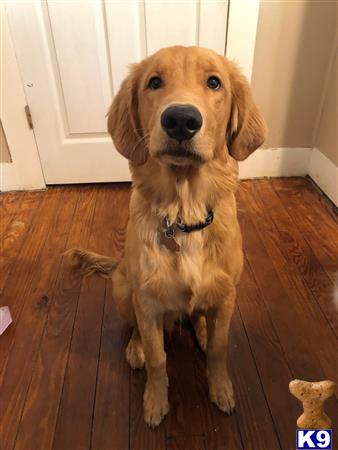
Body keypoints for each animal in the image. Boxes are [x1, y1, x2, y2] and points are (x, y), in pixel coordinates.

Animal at [69, 46, 266, 428]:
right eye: (154, 82)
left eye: (214, 82)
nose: (180, 120)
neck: (183, 214)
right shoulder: (147, 301)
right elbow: (158, 357)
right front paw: (155, 401)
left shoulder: (227, 294)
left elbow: (219, 348)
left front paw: (221, 388)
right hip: (122, 288)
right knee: (134, 327)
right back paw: (135, 348)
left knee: (199, 318)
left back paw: (200, 331)